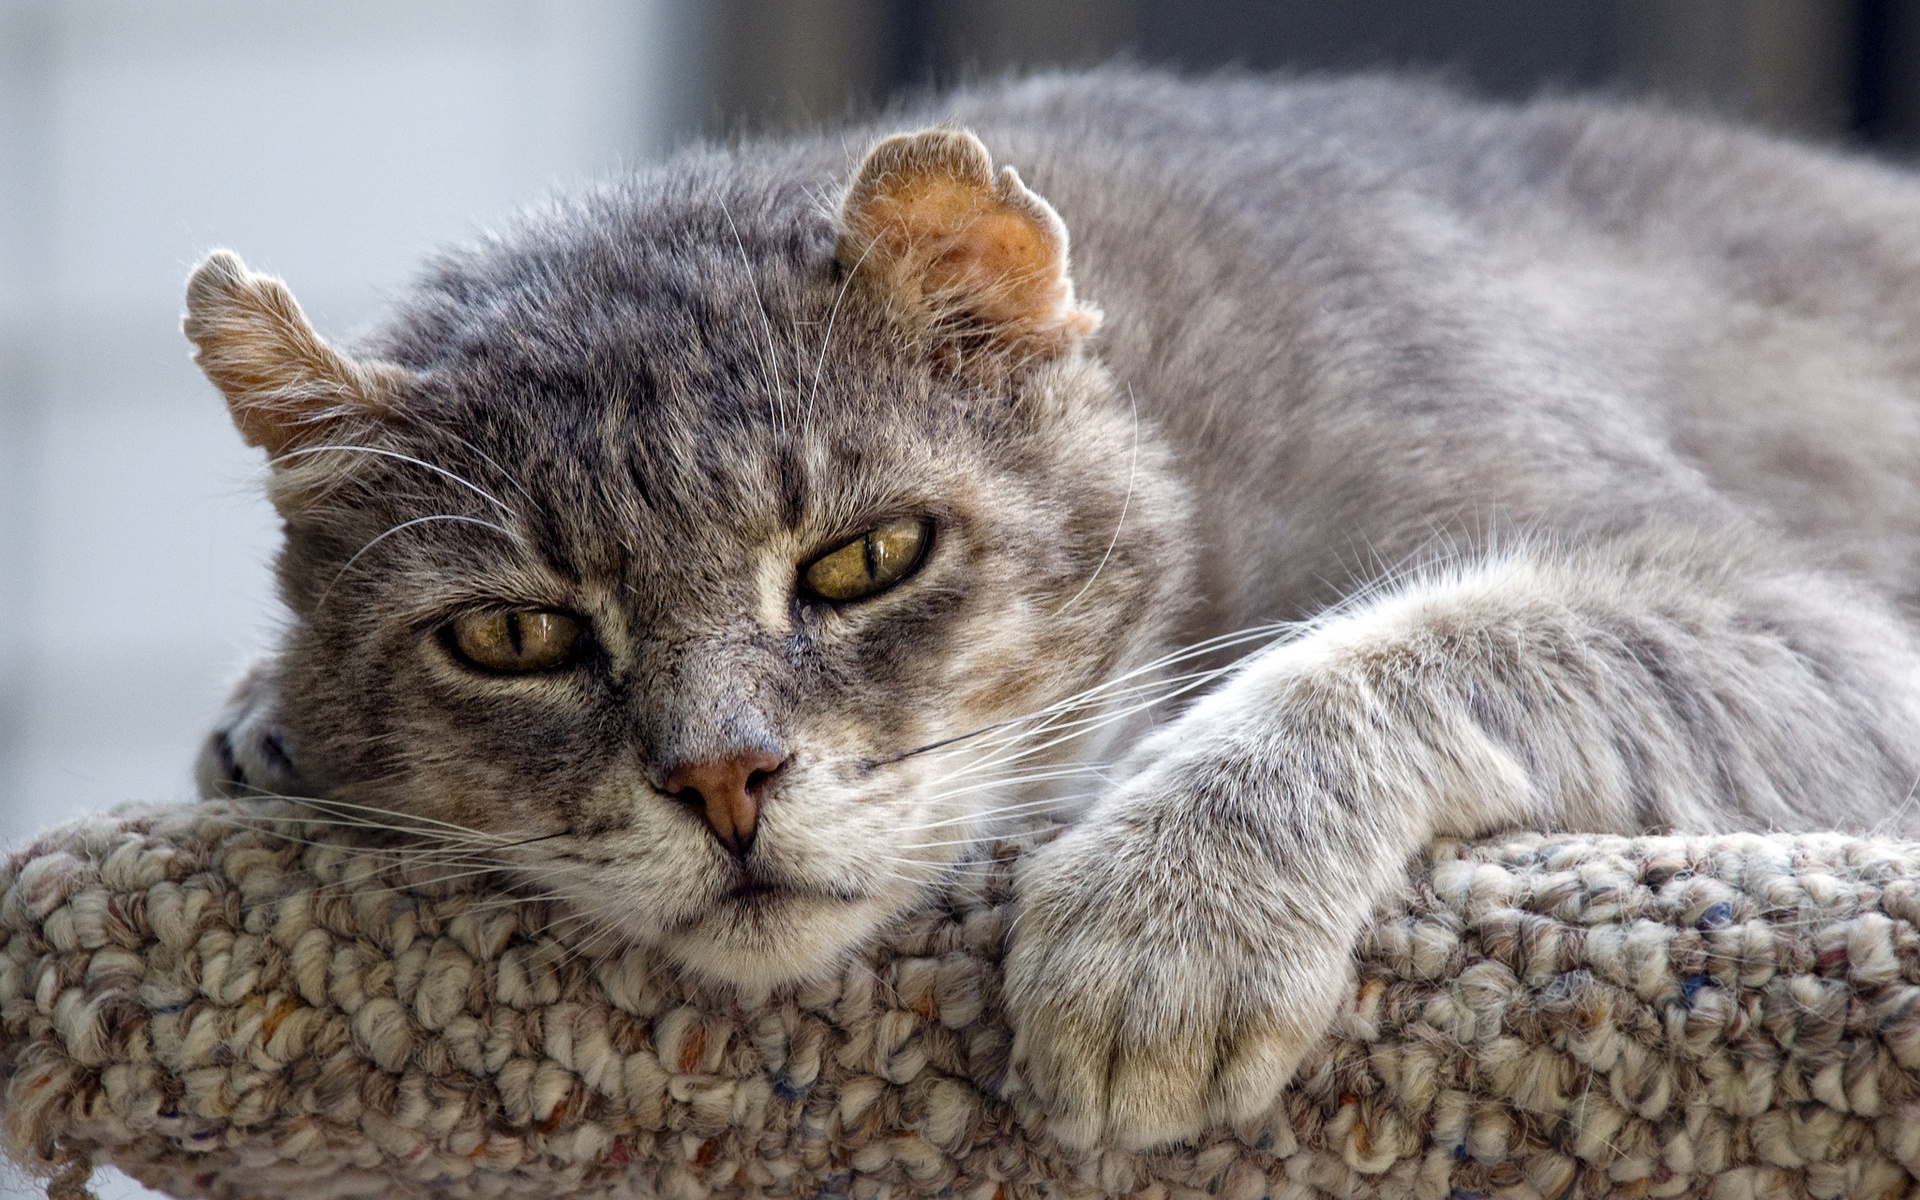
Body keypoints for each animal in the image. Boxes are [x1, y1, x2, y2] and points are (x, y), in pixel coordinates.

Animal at [183, 67, 1920, 1152]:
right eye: (515, 637)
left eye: (865, 558)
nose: (722, 780)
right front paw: (258, 718)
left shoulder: (1806, 623)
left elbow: (1417, 639)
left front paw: (1167, 915)